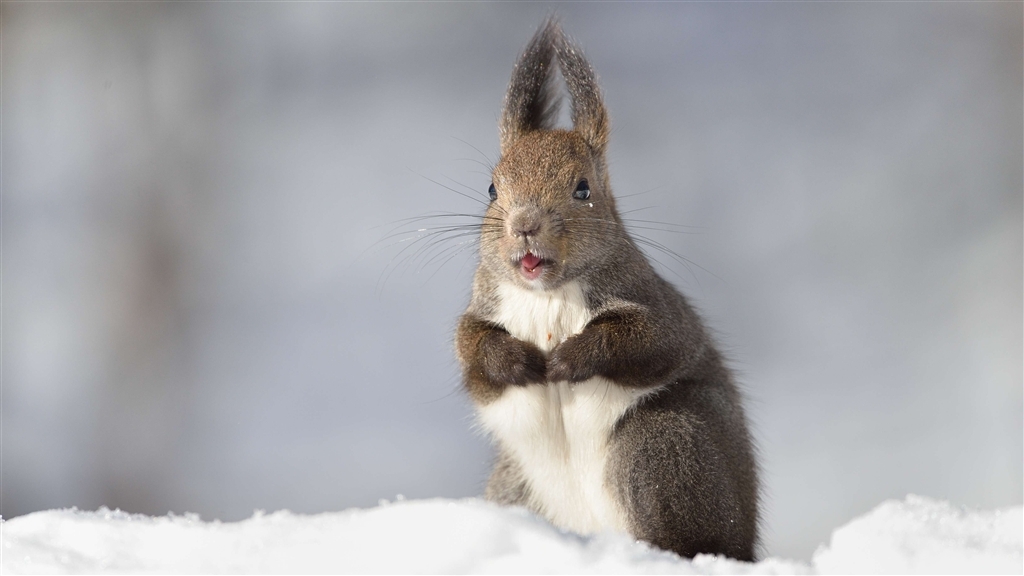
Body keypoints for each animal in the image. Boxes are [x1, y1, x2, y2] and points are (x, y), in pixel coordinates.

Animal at [452, 20, 757, 557]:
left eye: (583, 189)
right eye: (491, 189)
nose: (524, 224)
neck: (546, 295)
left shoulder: (656, 307)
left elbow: (647, 340)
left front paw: (569, 359)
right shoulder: (481, 311)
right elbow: (473, 350)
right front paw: (517, 360)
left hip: (663, 448)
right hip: (514, 484)